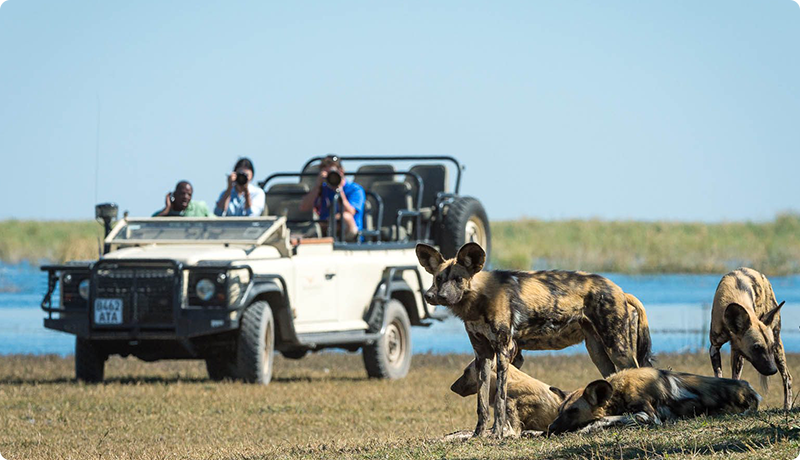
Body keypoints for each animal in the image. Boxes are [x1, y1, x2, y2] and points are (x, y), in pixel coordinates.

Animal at [416, 242, 652, 437]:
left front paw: (497, 434)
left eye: (458, 279)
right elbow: (481, 403)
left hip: (618, 349)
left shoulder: (505, 351)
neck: (478, 302)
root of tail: (621, 291)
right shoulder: (483, 355)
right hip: (598, 353)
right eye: (438, 279)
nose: (432, 296)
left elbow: (500, 399)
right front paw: (478, 435)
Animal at [547, 367, 761, 435]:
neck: (619, 390)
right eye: (559, 410)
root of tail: (752, 391)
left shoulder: (648, 416)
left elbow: (605, 419)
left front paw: (587, 427)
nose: (551, 428)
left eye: (573, 411)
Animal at [709, 267, 792, 409]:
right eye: (756, 347)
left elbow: (735, 379)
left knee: (787, 377)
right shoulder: (715, 348)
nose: (772, 370)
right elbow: (719, 376)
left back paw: (787, 406)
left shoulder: (739, 353)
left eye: (770, 347)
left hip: (778, 345)